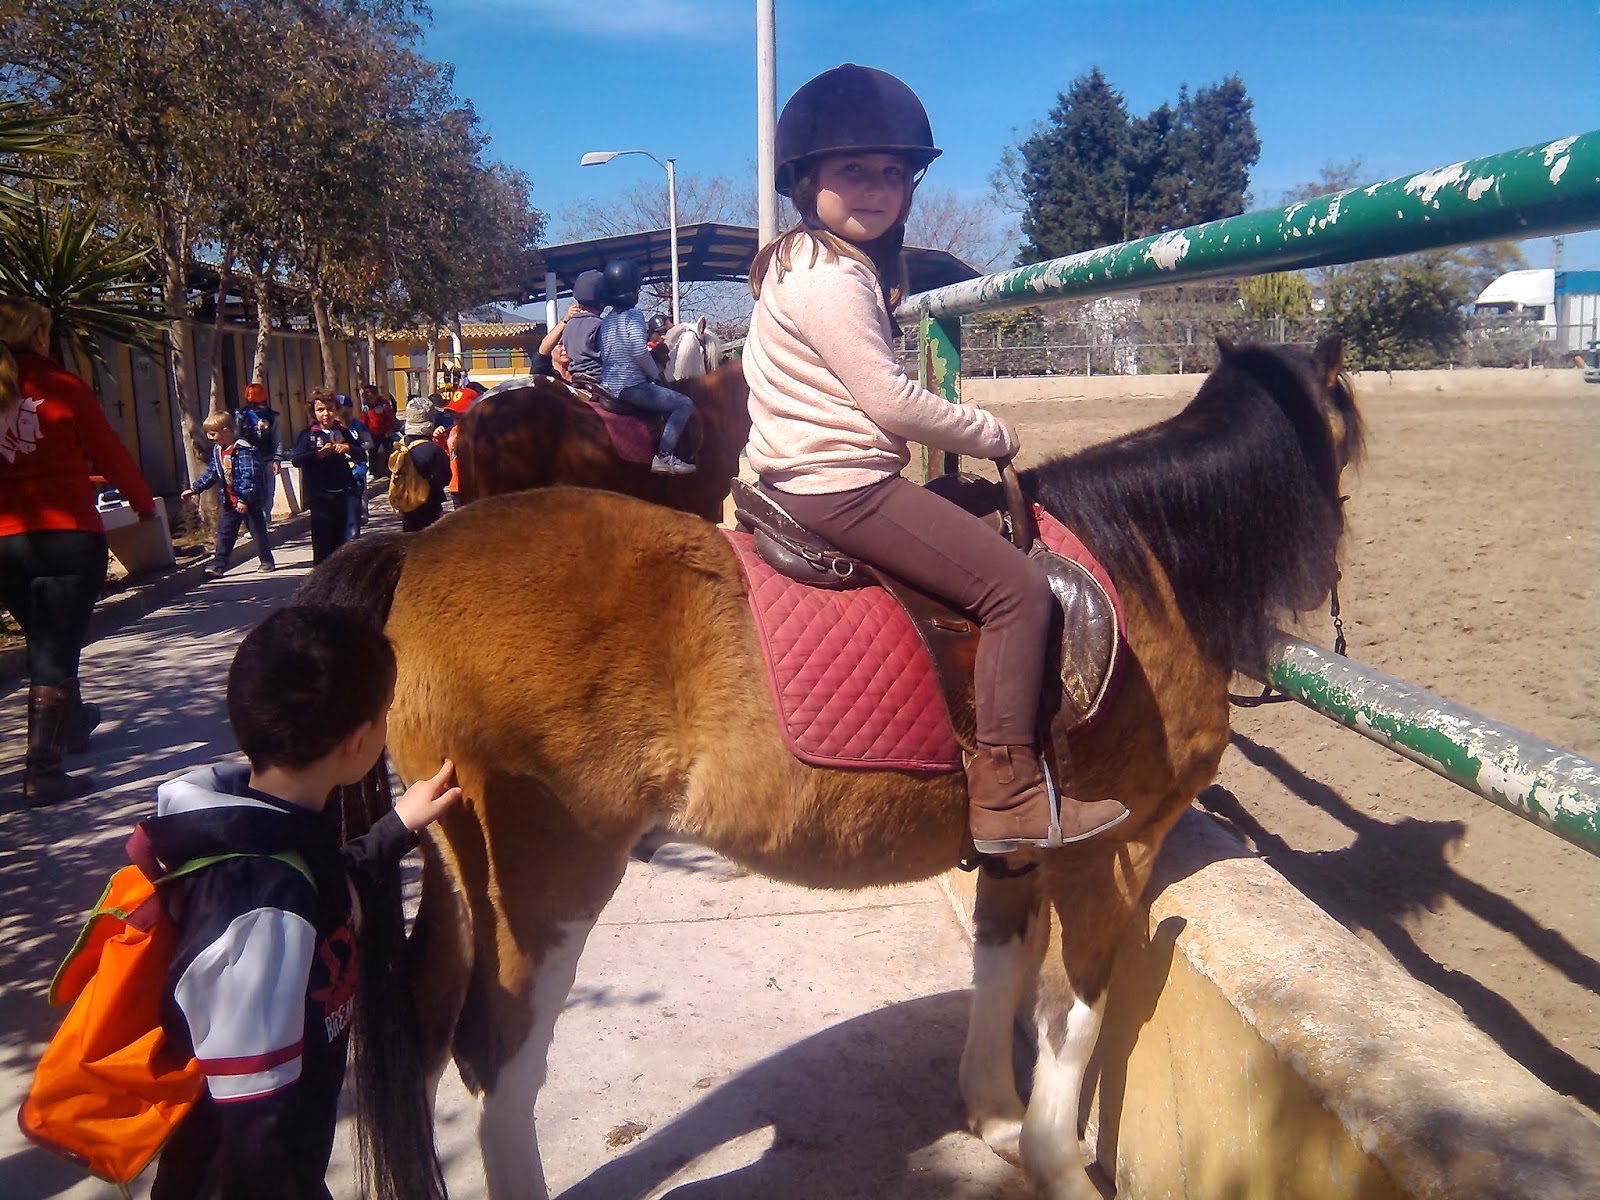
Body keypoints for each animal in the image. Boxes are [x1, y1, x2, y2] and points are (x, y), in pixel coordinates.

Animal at [304, 334, 1362, 1200]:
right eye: (1347, 435)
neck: (1140, 562)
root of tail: (418, 554)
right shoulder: (1117, 851)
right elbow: (1075, 1009)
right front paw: (1056, 1162)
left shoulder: (1023, 846)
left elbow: (1003, 968)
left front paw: (995, 1115)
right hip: (544, 889)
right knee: (500, 1065)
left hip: (455, 871)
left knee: (427, 1040)